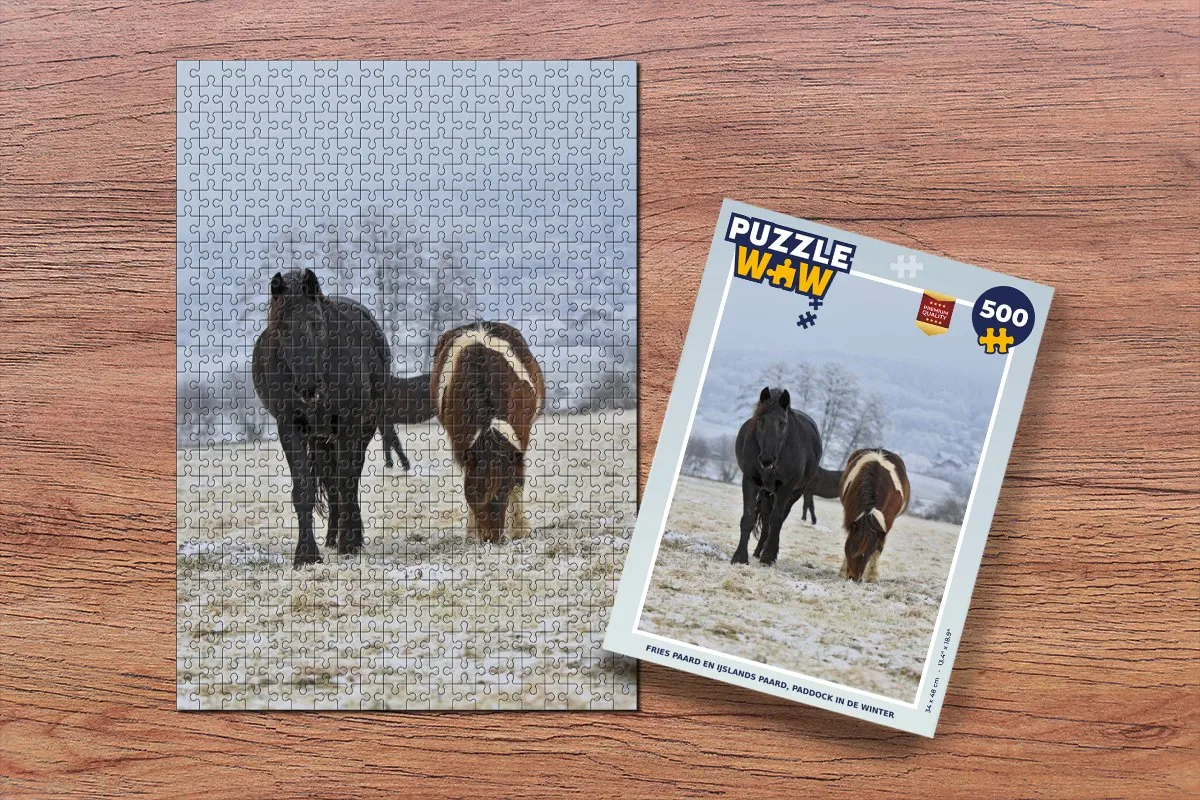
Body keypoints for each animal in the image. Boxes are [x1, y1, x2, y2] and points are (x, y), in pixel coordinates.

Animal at [251, 268, 390, 567]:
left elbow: (347, 481)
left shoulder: (349, 424)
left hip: (361, 427)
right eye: (282, 328)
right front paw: (306, 554)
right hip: (320, 437)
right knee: (331, 480)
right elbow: (303, 489)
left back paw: (348, 537)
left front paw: (350, 544)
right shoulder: (290, 426)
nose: (308, 387)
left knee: (347, 479)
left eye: (316, 322)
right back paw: (332, 537)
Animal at [431, 321, 544, 543]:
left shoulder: (519, 442)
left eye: (504, 491)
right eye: (474, 494)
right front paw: (472, 533)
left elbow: (518, 482)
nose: (492, 538)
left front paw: (520, 529)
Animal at [732, 387, 822, 566]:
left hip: (796, 492)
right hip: (766, 492)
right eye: (760, 420)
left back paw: (770, 552)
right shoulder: (750, 481)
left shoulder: (786, 487)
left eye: (783, 423)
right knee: (766, 519)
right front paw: (740, 557)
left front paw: (768, 557)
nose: (767, 459)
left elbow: (776, 520)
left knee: (779, 519)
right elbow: (748, 517)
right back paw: (758, 551)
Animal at [839, 448, 910, 582]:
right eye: (852, 548)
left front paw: (873, 576)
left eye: (869, 552)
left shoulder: (885, 524)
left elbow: (879, 548)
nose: (854, 578)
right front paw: (843, 571)